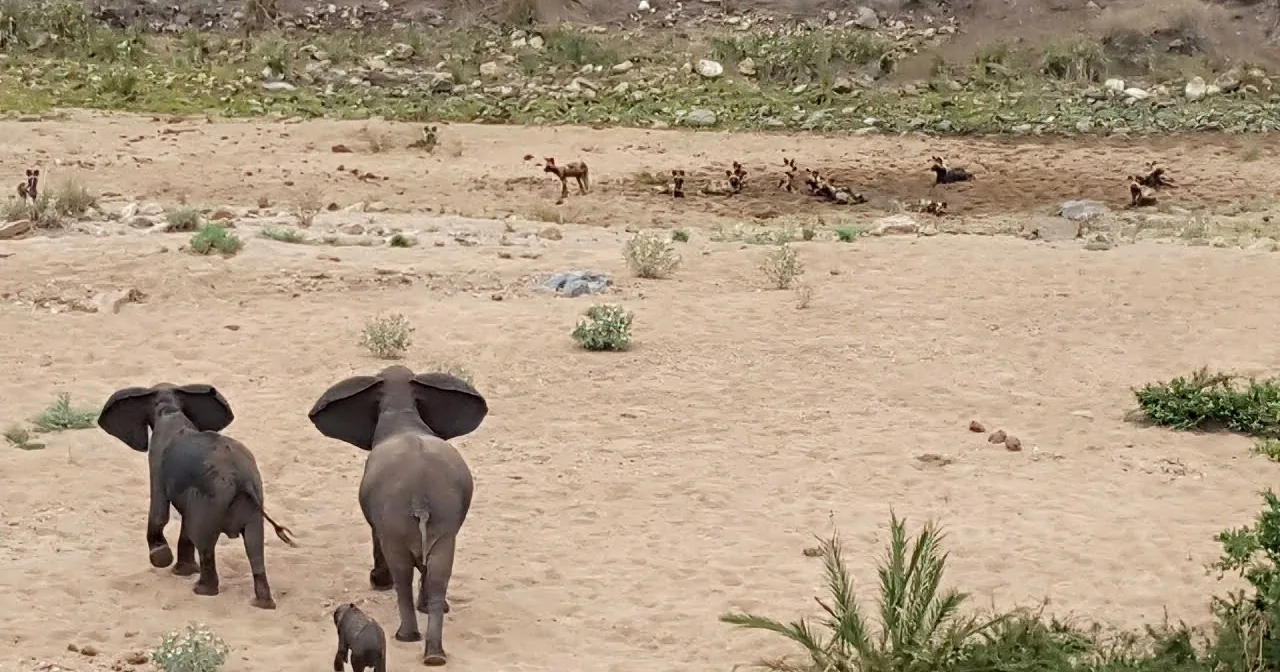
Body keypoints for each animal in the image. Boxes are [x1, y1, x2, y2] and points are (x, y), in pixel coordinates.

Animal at [97, 383, 297, 609]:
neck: (170, 408)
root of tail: (241, 477)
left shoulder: (156, 461)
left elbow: (159, 511)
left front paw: (162, 559)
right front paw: (181, 570)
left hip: (213, 498)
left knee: (205, 541)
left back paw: (203, 590)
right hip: (252, 497)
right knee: (254, 545)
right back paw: (262, 604)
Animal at [307, 366, 488, 666]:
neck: (403, 407)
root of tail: (420, 497)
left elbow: (375, 535)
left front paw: (378, 583)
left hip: (395, 521)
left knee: (402, 573)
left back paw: (406, 636)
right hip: (443, 520)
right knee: (438, 574)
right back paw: (434, 654)